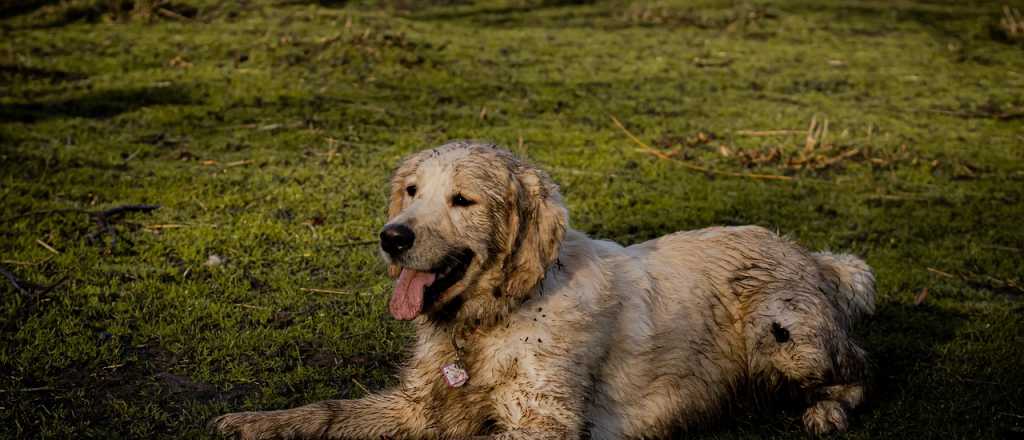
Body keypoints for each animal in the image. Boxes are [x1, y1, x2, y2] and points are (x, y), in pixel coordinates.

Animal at [211, 142, 876, 440]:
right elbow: (325, 411)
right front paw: (255, 422)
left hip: (786, 332)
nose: (392, 237)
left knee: (859, 369)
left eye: (463, 200)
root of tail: (814, 256)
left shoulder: (542, 425)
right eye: (411, 191)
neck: (491, 319)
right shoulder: (419, 407)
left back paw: (825, 410)